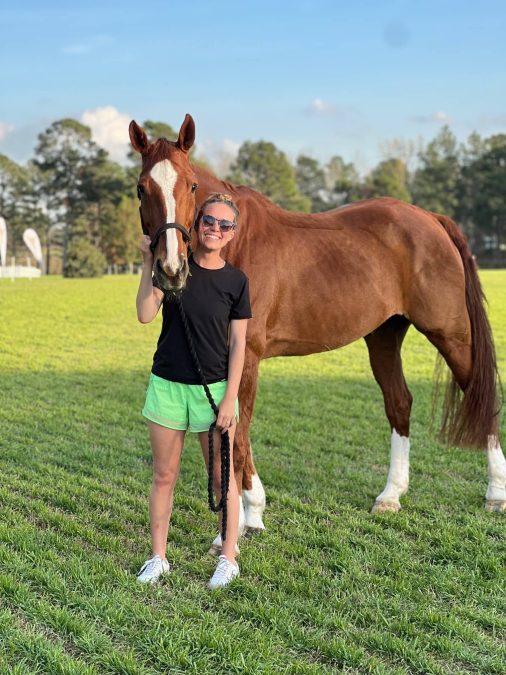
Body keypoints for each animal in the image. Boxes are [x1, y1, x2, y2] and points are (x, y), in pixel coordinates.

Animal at [130, 114, 506, 553]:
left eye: (190, 185)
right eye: (141, 188)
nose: (171, 270)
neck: (233, 244)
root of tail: (431, 218)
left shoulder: (246, 357)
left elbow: (237, 437)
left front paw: (240, 524)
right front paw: (246, 518)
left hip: (451, 333)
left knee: (482, 397)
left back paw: (495, 493)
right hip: (384, 334)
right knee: (399, 403)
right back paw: (391, 495)